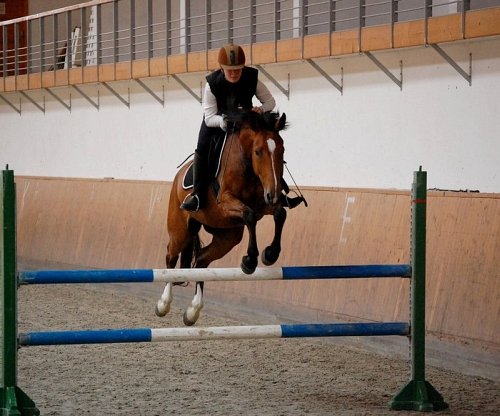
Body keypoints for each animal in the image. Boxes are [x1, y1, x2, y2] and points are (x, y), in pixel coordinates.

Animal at [156, 110, 290, 324]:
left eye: (282, 151)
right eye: (258, 151)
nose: (274, 194)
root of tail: (178, 176)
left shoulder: (263, 205)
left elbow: (280, 213)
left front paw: (270, 254)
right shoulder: (226, 202)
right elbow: (249, 216)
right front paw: (250, 261)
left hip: (227, 236)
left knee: (202, 260)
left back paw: (193, 311)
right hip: (180, 230)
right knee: (171, 257)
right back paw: (163, 304)